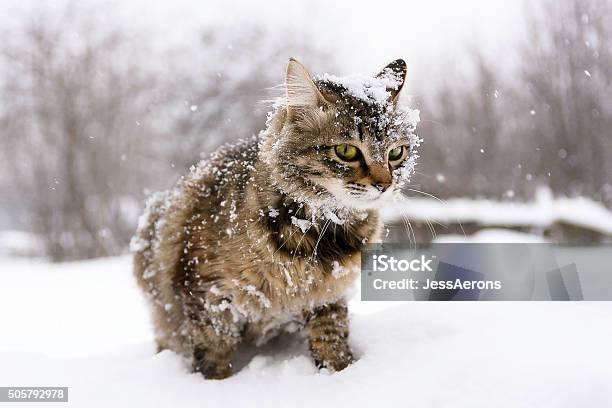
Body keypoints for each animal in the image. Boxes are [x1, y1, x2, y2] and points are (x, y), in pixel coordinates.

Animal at [132, 57, 420, 380]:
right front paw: (214, 384)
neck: (321, 232)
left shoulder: (326, 296)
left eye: (396, 153)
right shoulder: (206, 289)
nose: (385, 184)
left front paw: (339, 372)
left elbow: (331, 339)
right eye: (346, 151)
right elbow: (213, 351)